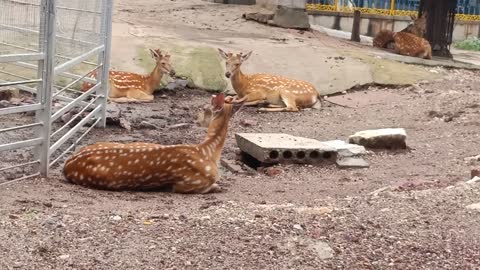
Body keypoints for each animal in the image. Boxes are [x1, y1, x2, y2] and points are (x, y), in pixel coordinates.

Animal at [62, 93, 244, 194]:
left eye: (204, 109)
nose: (196, 120)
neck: (208, 152)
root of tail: (66, 165)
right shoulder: (186, 184)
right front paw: (218, 186)